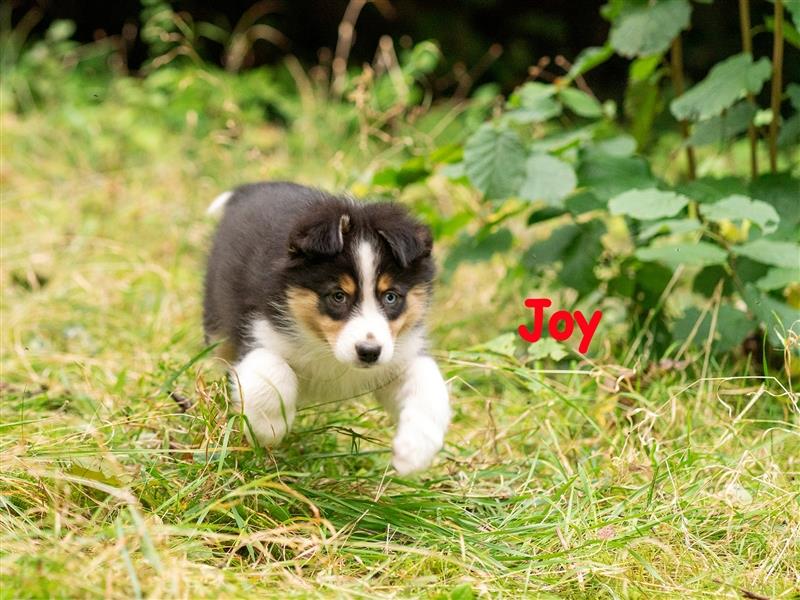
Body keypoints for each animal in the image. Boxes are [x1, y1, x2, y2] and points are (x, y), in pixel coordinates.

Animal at [202, 182, 450, 474]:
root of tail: (253, 188)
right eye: (338, 296)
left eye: (390, 297)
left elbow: (429, 385)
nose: (369, 352)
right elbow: (273, 371)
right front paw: (268, 429)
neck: (326, 348)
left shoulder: (400, 352)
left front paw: (413, 452)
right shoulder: (259, 331)